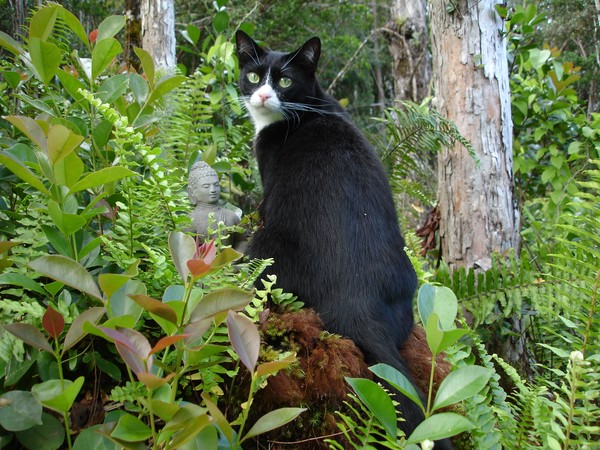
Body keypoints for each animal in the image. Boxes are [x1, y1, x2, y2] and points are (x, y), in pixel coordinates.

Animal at [234, 30, 450, 446]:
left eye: (285, 81)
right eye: (253, 76)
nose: (263, 95)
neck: (306, 108)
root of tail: (358, 299)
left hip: (267, 246)